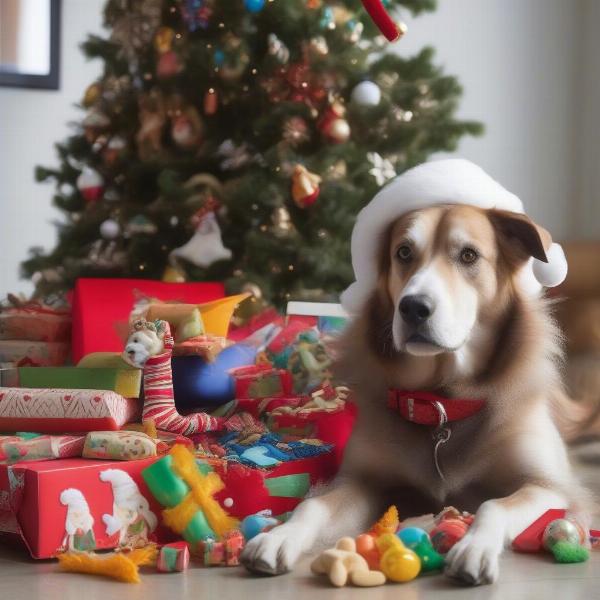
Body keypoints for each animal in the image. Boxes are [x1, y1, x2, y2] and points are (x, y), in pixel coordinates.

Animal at [239, 159, 596, 584]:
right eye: (403, 252)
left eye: (469, 255)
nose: (413, 308)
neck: (441, 402)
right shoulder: (364, 482)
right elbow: (314, 505)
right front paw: (280, 536)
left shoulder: (549, 487)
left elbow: (494, 505)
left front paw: (474, 547)